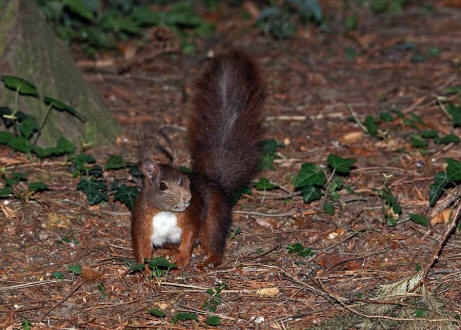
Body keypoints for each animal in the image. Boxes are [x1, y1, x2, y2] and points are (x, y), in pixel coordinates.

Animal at [131, 50, 264, 270]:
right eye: (162, 186)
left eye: (185, 181)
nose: (187, 198)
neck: (165, 212)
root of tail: (219, 186)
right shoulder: (142, 222)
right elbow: (141, 248)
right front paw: (145, 271)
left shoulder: (190, 218)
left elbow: (189, 236)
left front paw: (182, 260)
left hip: (213, 217)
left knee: (213, 241)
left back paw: (207, 262)